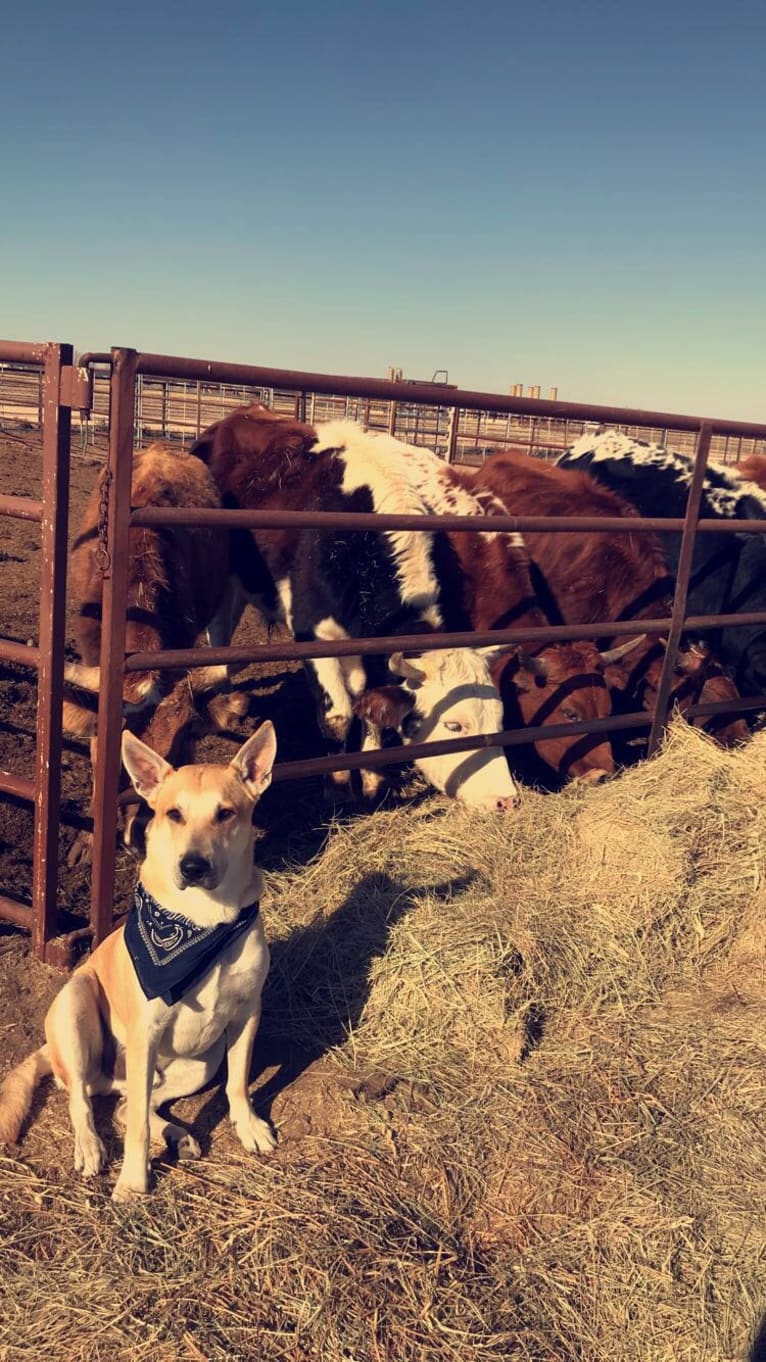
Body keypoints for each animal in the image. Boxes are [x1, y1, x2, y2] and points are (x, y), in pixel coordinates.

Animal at [0, 724, 276, 1204]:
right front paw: (133, 1181)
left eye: (226, 813)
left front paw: (249, 1127)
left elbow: (239, 1082)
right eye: (174, 814)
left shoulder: (246, 1015)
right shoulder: (146, 1030)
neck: (205, 920)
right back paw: (91, 1147)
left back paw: (178, 1136)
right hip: (76, 1006)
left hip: (199, 1063)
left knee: (130, 1104)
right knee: (83, 1099)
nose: (193, 865)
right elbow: (138, 1131)